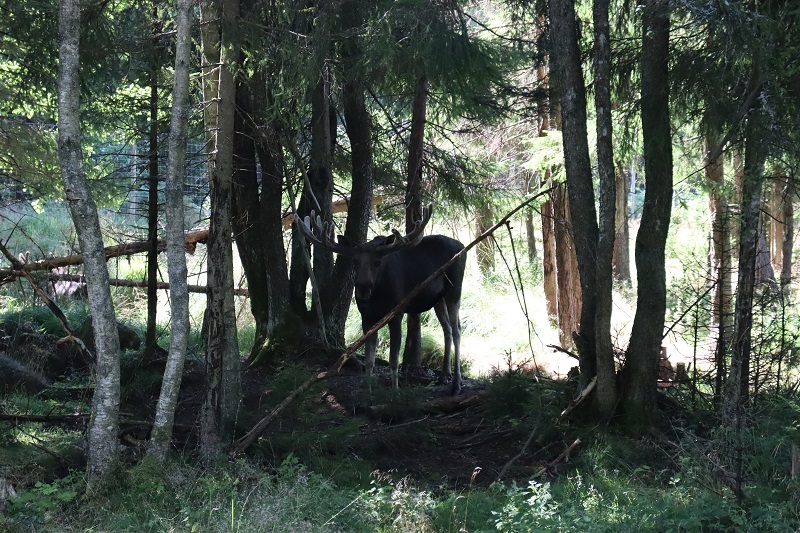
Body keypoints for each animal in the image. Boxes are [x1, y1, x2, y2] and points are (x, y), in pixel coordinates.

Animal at [296, 206, 466, 392]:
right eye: (355, 261)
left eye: (377, 262)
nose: (363, 289)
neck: (377, 298)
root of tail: (462, 245)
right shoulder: (367, 317)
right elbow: (369, 360)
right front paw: (367, 391)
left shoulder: (397, 313)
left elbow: (393, 359)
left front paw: (395, 391)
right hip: (438, 299)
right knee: (447, 329)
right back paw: (444, 375)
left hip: (454, 290)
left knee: (457, 330)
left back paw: (456, 382)